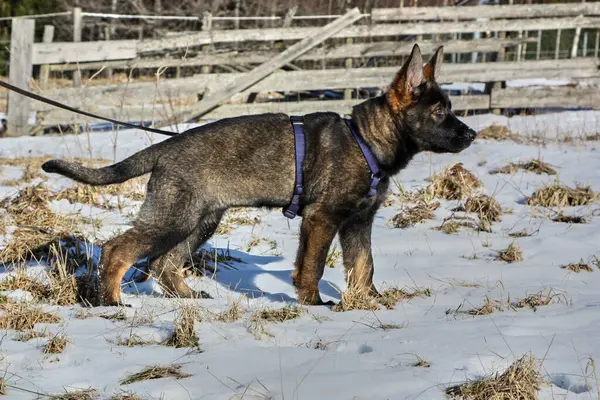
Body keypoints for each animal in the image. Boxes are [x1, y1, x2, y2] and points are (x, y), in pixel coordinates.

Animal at [39, 43, 476, 306]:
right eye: (440, 112)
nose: (471, 135)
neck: (365, 140)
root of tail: (165, 147)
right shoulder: (323, 218)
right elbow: (313, 265)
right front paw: (315, 304)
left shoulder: (358, 222)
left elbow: (363, 265)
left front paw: (370, 301)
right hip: (176, 216)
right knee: (118, 249)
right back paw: (112, 302)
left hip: (201, 220)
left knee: (164, 262)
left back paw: (187, 297)